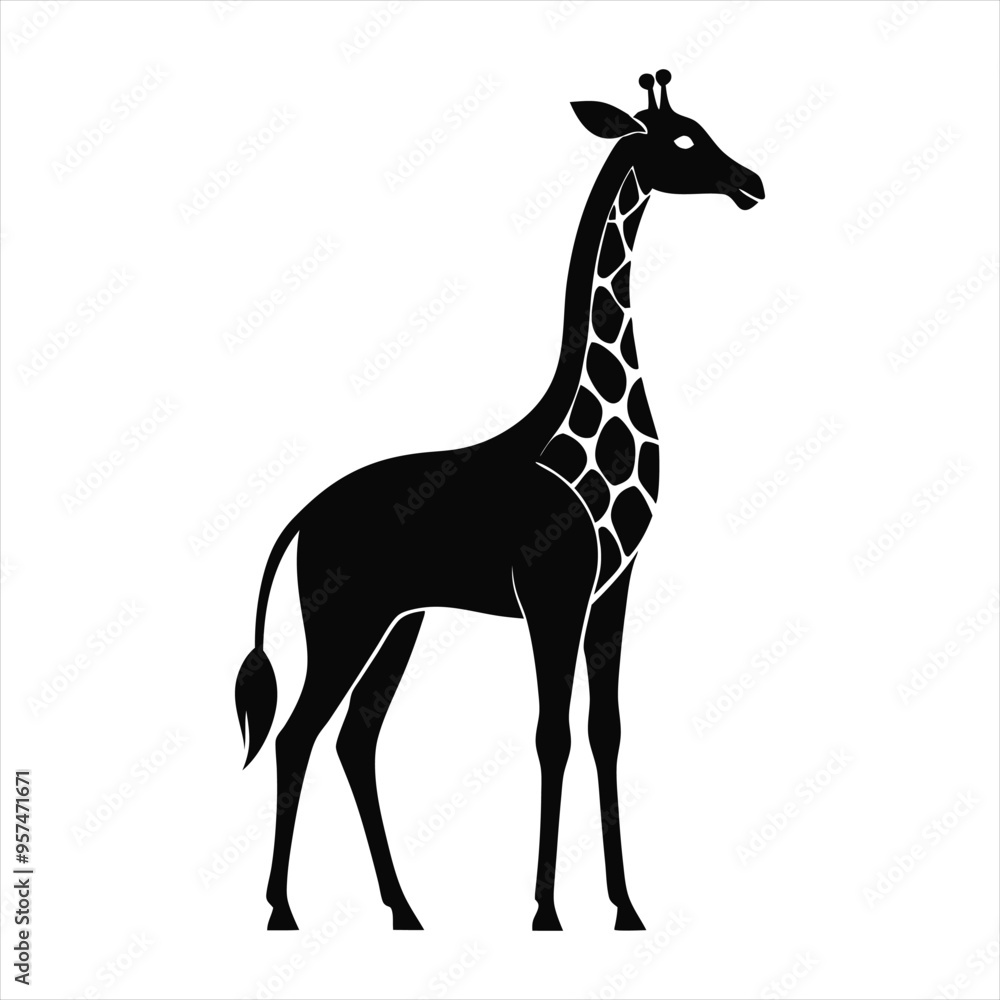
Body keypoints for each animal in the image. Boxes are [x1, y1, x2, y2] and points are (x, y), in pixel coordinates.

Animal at [234, 69, 764, 933]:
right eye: (684, 138)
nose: (752, 183)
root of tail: (303, 518)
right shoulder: (553, 589)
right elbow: (553, 734)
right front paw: (547, 911)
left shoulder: (612, 589)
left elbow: (605, 731)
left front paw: (624, 907)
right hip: (345, 619)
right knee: (296, 735)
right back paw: (282, 910)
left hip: (399, 620)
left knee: (355, 739)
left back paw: (404, 909)